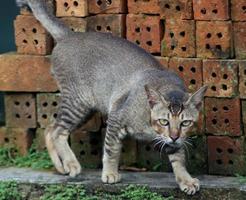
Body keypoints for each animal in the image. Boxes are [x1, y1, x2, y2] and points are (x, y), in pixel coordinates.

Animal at [16, 0, 207, 195]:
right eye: (164, 121)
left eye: (185, 123)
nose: (174, 136)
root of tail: (70, 35)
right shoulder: (116, 116)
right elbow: (111, 150)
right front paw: (109, 173)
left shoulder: (174, 141)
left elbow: (179, 159)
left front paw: (186, 180)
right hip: (78, 103)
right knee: (57, 131)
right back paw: (71, 164)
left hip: (86, 109)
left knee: (49, 129)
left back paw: (62, 167)